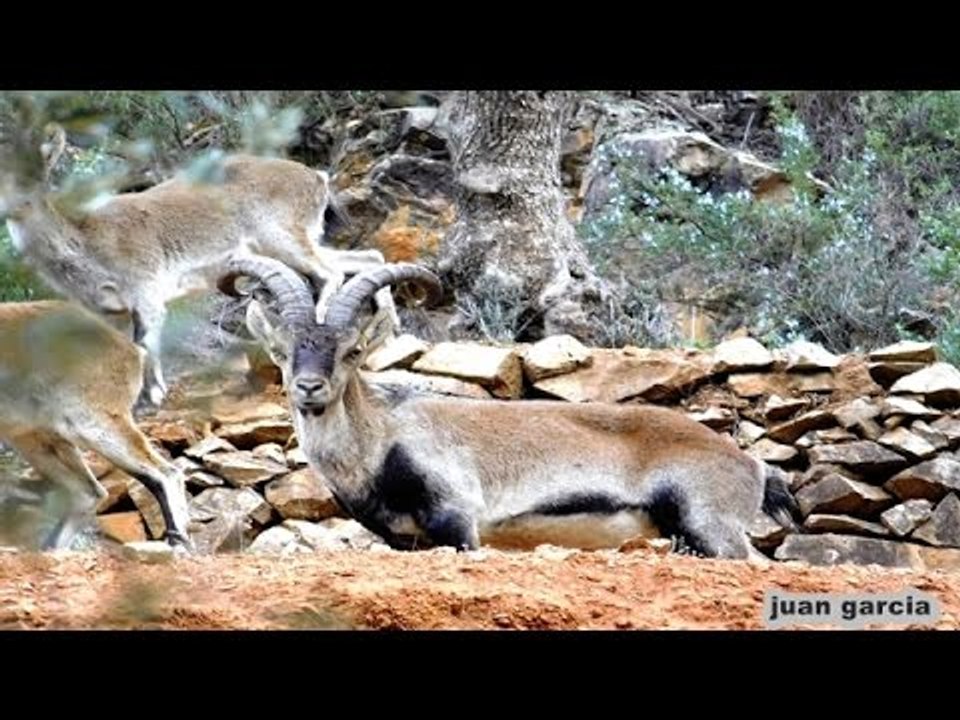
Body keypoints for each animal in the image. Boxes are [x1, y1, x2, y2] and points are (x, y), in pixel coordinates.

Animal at [0, 301, 191, 549]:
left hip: (94, 426)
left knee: (165, 473)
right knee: (90, 493)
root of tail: (132, 351)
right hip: (38, 439)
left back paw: (178, 542)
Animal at [1, 126, 394, 407]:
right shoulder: (107, 310)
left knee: (330, 272)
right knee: (367, 259)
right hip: (300, 241)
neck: (88, 244)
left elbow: (146, 344)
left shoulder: (147, 294)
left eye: (29, 176)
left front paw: (155, 396)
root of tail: (317, 178)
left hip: (283, 238)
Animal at [219, 258, 798, 558]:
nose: (310, 388)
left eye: (353, 351)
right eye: (282, 351)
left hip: (707, 522)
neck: (378, 442)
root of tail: (753, 465)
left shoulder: (459, 518)